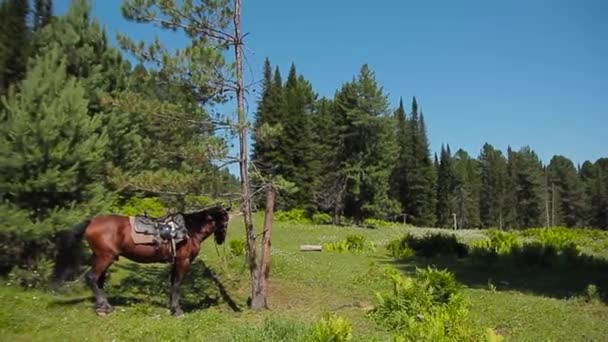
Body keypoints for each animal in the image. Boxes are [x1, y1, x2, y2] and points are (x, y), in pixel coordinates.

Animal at [52, 204, 230, 316]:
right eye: (225, 220)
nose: (221, 240)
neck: (189, 230)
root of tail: (92, 222)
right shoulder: (183, 261)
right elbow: (178, 284)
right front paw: (178, 311)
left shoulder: (175, 262)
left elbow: (173, 283)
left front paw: (172, 307)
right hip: (105, 257)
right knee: (92, 278)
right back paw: (103, 309)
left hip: (101, 257)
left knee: (99, 281)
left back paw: (105, 306)